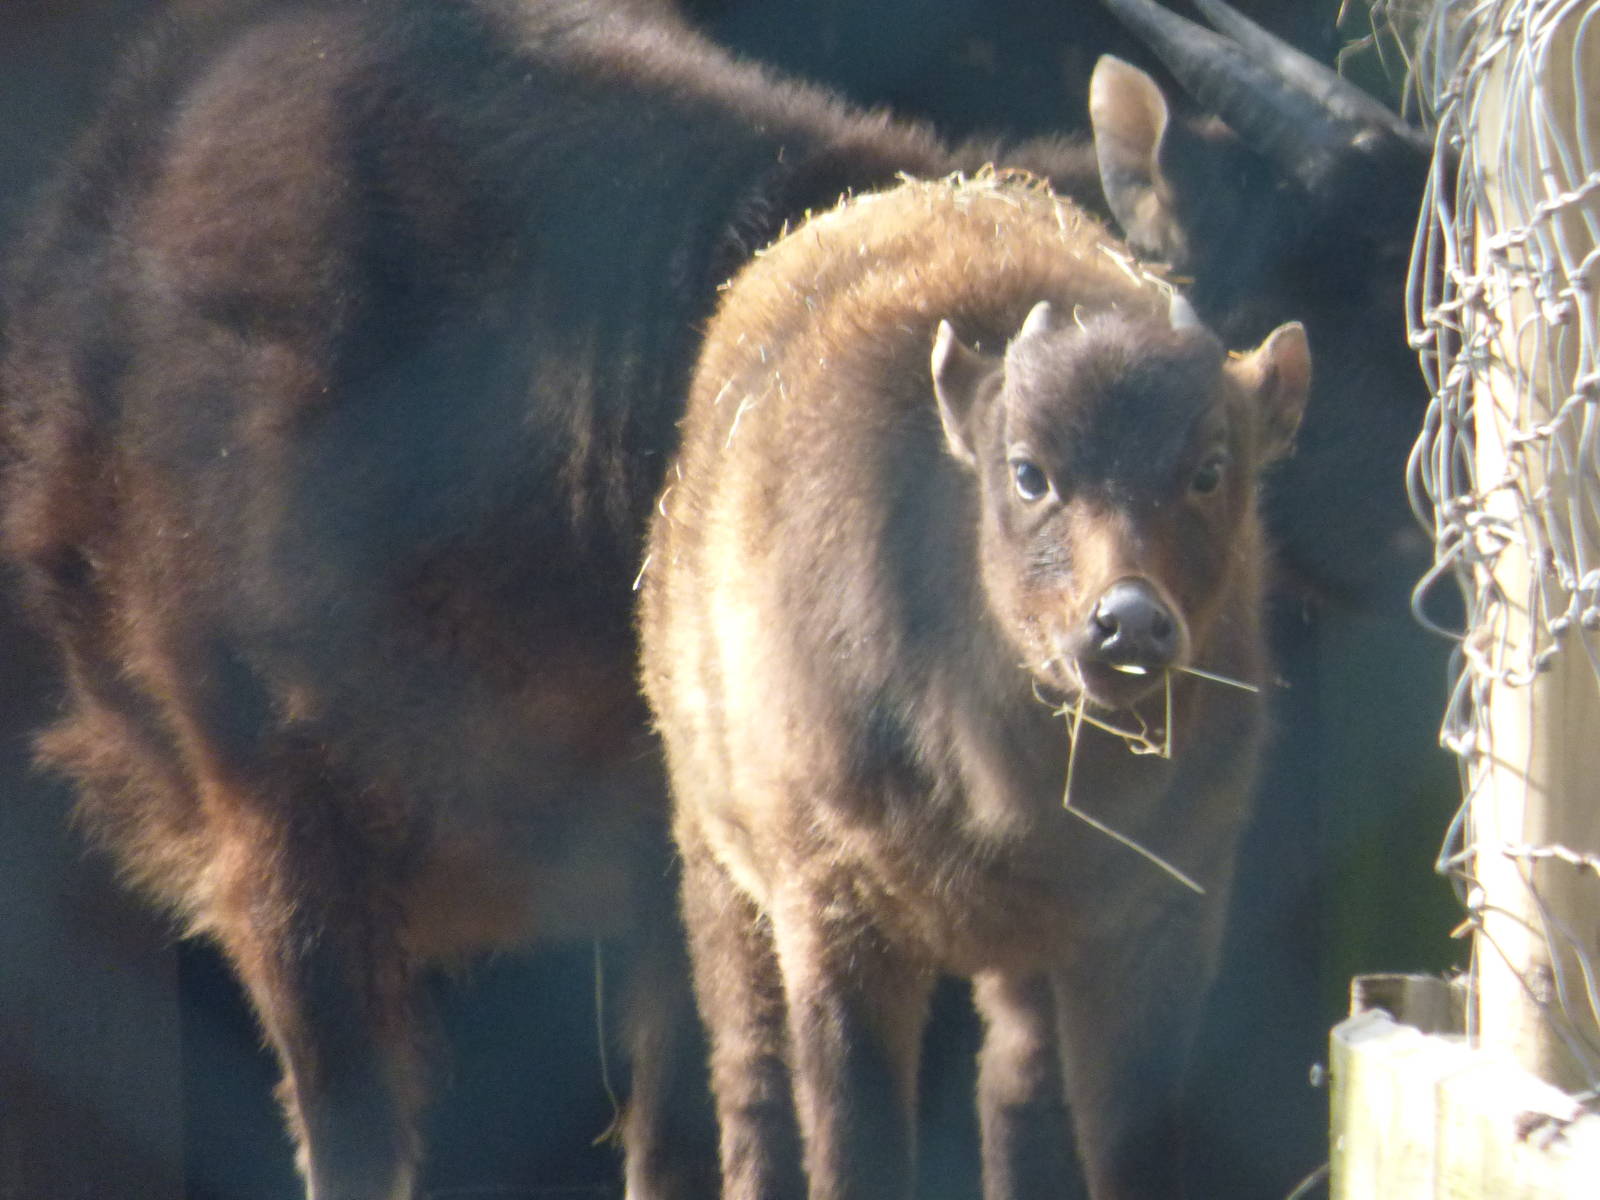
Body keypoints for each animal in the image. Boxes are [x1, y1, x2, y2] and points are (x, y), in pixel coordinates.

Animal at [638, 173, 1309, 1200]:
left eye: (1209, 469)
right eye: (1028, 472)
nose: (1128, 623)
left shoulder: (1159, 917)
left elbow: (1128, 1147)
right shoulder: (835, 917)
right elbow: (853, 1149)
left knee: (1015, 1094)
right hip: (715, 868)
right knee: (749, 1083)